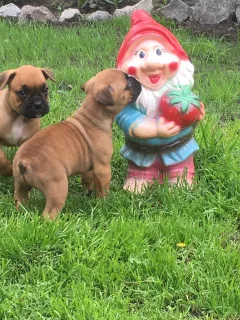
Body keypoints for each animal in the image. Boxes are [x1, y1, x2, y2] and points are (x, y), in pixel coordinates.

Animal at [12, 69, 141, 220]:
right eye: (128, 82)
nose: (137, 80)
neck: (93, 114)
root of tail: (24, 162)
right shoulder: (103, 167)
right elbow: (103, 187)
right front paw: (104, 201)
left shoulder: (89, 166)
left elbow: (88, 178)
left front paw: (89, 191)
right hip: (58, 188)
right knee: (49, 213)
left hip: (20, 186)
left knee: (21, 202)